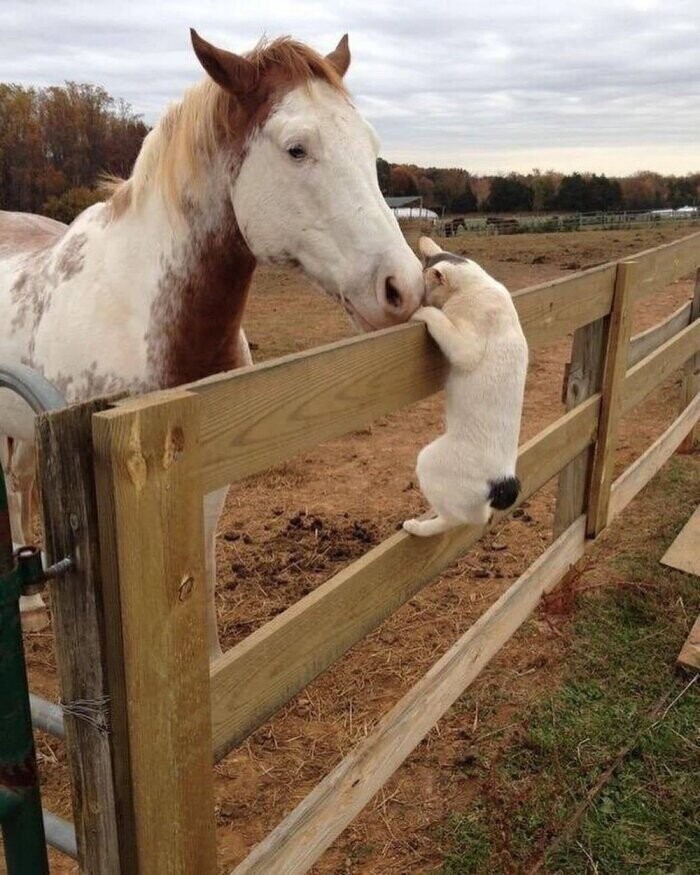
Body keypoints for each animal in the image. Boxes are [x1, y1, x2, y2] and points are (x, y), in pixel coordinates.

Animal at [0, 27, 424, 656]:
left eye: (369, 145)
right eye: (296, 149)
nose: (404, 287)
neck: (153, 321)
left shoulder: (207, 472)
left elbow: (199, 565)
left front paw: (214, 662)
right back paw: (29, 607)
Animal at [404, 240, 524, 540]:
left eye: (424, 286)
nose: (420, 301)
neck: (476, 284)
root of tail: (503, 480)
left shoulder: (466, 348)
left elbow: (439, 319)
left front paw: (422, 312)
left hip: (429, 461)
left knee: (458, 519)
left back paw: (417, 527)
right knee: (478, 517)